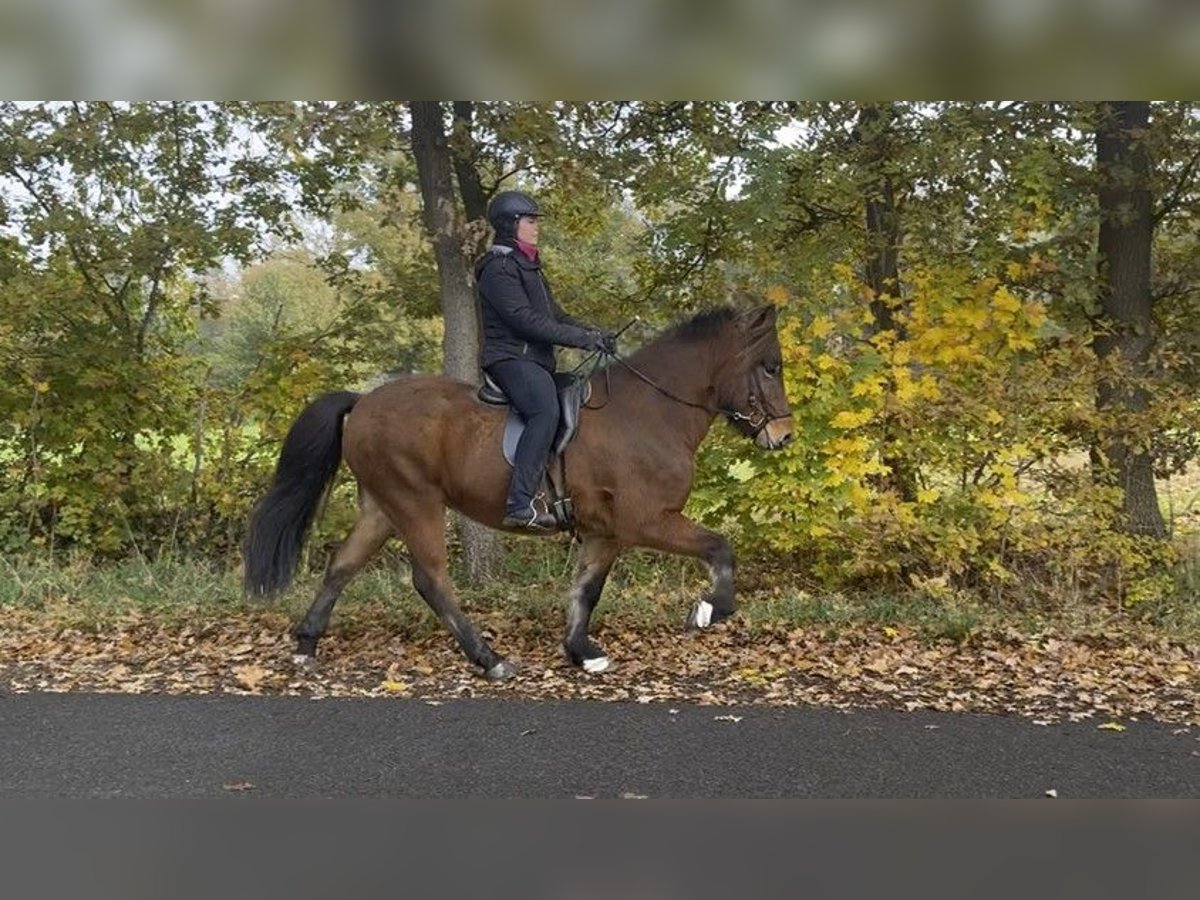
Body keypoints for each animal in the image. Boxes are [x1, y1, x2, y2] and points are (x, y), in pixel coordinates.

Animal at [240, 300, 792, 681]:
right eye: (771, 367)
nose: (784, 436)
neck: (650, 411)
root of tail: (364, 401)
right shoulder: (647, 521)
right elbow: (720, 546)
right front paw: (709, 609)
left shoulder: (606, 532)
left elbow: (587, 589)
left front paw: (581, 652)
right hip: (415, 502)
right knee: (430, 580)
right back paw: (489, 659)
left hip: (382, 507)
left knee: (342, 565)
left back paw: (307, 646)